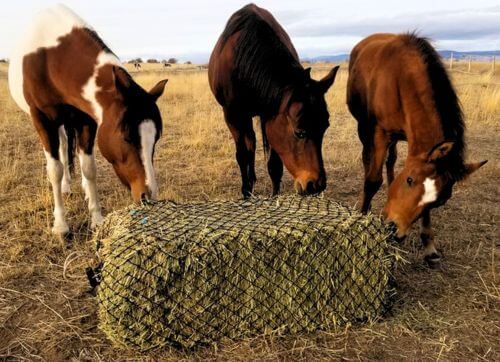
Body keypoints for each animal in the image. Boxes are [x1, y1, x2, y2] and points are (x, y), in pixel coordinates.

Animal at [8, 4, 168, 238]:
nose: (148, 196)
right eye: (126, 137)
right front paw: (61, 226)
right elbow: (54, 170)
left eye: (155, 140)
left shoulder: (87, 121)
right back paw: (65, 187)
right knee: (62, 150)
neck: (52, 57)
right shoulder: (42, 120)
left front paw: (97, 219)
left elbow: (89, 168)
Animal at [207, 3, 340, 198]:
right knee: (249, 145)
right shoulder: (232, 115)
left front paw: (274, 195)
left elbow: (274, 165)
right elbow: (242, 154)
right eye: (300, 132)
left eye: (325, 128)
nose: (316, 185)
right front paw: (246, 191)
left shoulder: (269, 115)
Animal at [346, 33, 486, 266]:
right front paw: (363, 217)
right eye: (410, 180)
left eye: (440, 201)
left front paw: (429, 246)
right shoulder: (380, 133)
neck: (401, 77)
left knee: (391, 160)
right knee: (368, 159)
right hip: (364, 128)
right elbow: (373, 180)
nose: (393, 230)